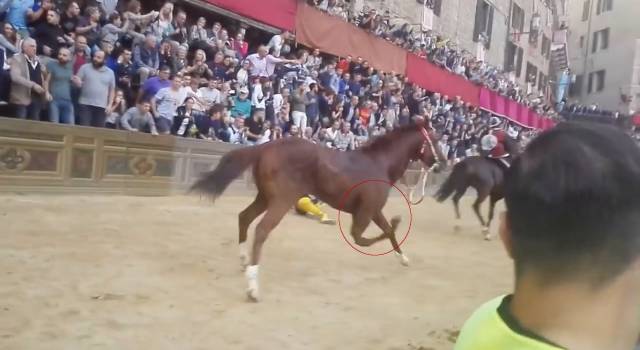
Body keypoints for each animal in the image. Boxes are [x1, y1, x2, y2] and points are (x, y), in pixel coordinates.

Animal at [189, 123, 444, 300]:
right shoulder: (365, 212)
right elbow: (362, 238)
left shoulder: (374, 210)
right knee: (261, 230)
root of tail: (266, 146)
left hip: (265, 197)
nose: (442, 164)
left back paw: (244, 261)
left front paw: (404, 259)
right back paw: (253, 288)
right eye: (436, 139)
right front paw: (398, 222)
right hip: (281, 200)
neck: (378, 164)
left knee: (244, 217)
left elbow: (388, 231)